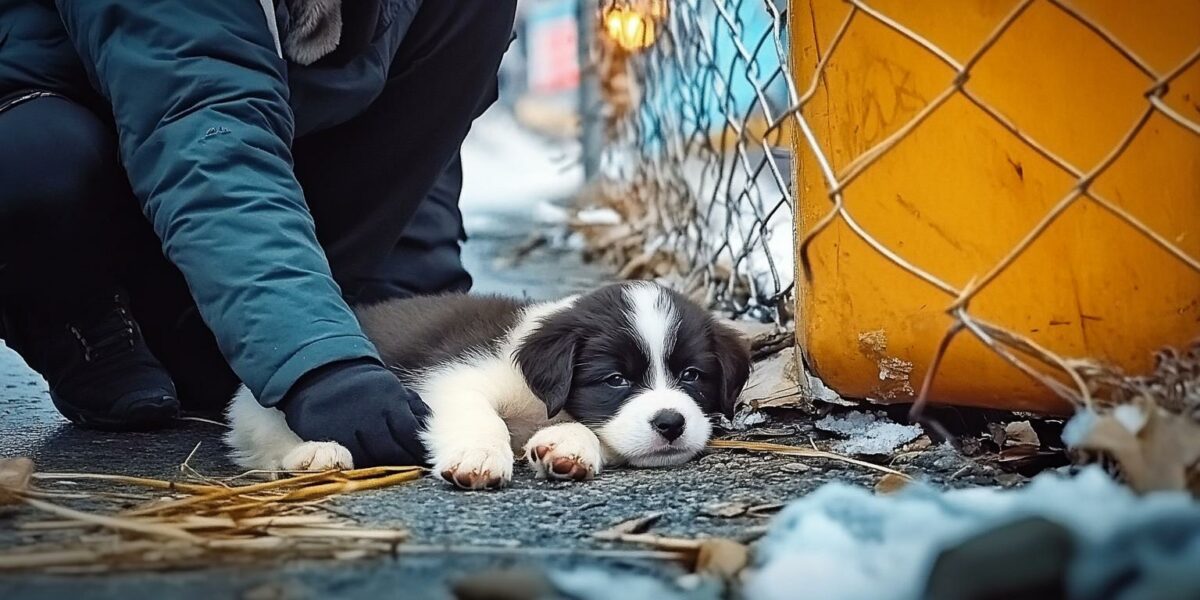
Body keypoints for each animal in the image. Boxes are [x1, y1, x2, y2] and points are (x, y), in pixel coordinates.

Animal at [224, 280, 744, 487]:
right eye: (615, 379)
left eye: (692, 376)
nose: (672, 423)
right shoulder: (454, 376)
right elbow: (479, 416)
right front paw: (478, 457)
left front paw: (568, 447)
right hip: (260, 406)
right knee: (260, 437)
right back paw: (316, 454)